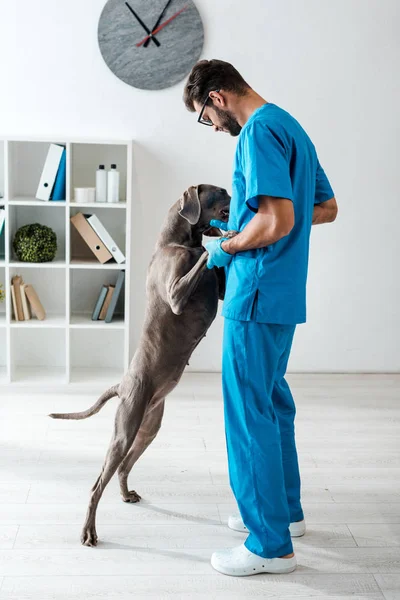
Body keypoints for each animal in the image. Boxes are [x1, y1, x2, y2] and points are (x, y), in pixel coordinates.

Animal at [48, 185, 233, 548]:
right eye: (219, 192)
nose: (235, 195)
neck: (176, 241)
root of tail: (122, 385)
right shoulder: (176, 293)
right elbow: (205, 257)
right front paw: (221, 239)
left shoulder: (217, 289)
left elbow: (215, 267)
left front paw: (220, 237)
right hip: (124, 430)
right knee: (96, 485)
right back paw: (89, 532)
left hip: (149, 427)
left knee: (122, 468)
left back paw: (125, 494)